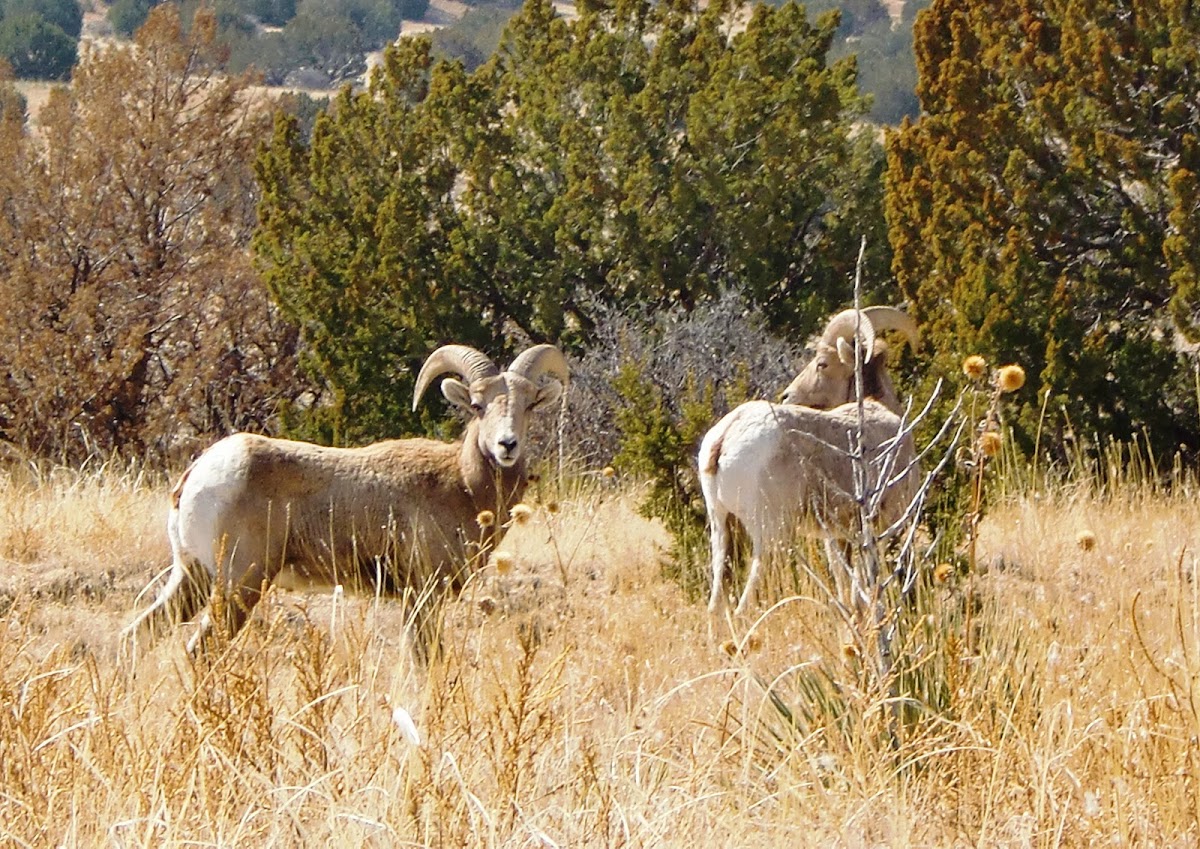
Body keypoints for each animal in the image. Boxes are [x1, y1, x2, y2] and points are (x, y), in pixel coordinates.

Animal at [124, 345, 568, 657]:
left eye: (529, 404)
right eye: (477, 405)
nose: (506, 445)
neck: (460, 486)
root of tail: (196, 475)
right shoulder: (422, 596)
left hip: (193, 578)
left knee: (138, 633)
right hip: (238, 586)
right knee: (201, 651)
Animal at [700, 309, 916, 613]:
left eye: (822, 364)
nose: (787, 395)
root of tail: (724, 439)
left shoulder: (838, 538)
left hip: (722, 529)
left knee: (715, 606)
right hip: (771, 536)